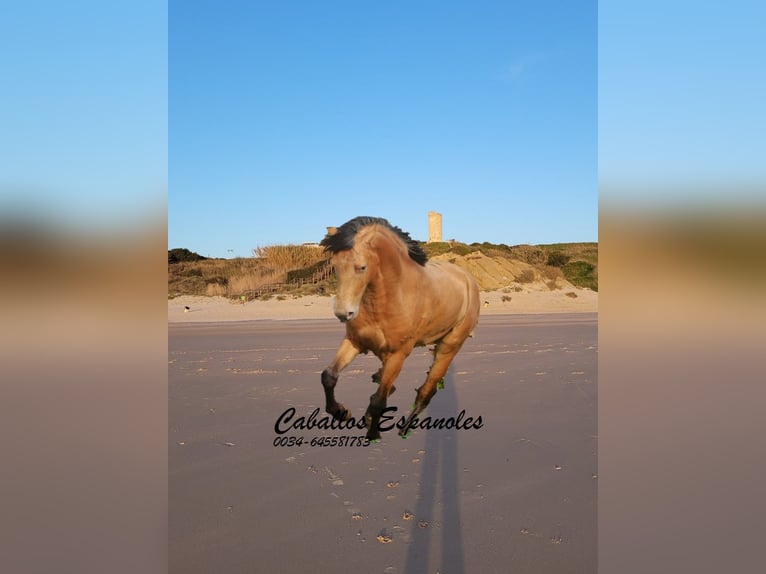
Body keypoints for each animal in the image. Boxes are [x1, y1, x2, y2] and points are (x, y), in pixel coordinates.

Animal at [318, 216, 480, 440]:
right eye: (335, 266)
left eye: (362, 267)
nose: (344, 313)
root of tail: (468, 279)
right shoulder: (355, 342)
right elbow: (329, 376)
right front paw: (341, 412)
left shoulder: (398, 354)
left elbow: (379, 400)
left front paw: (373, 434)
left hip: (449, 346)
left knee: (426, 390)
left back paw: (405, 428)